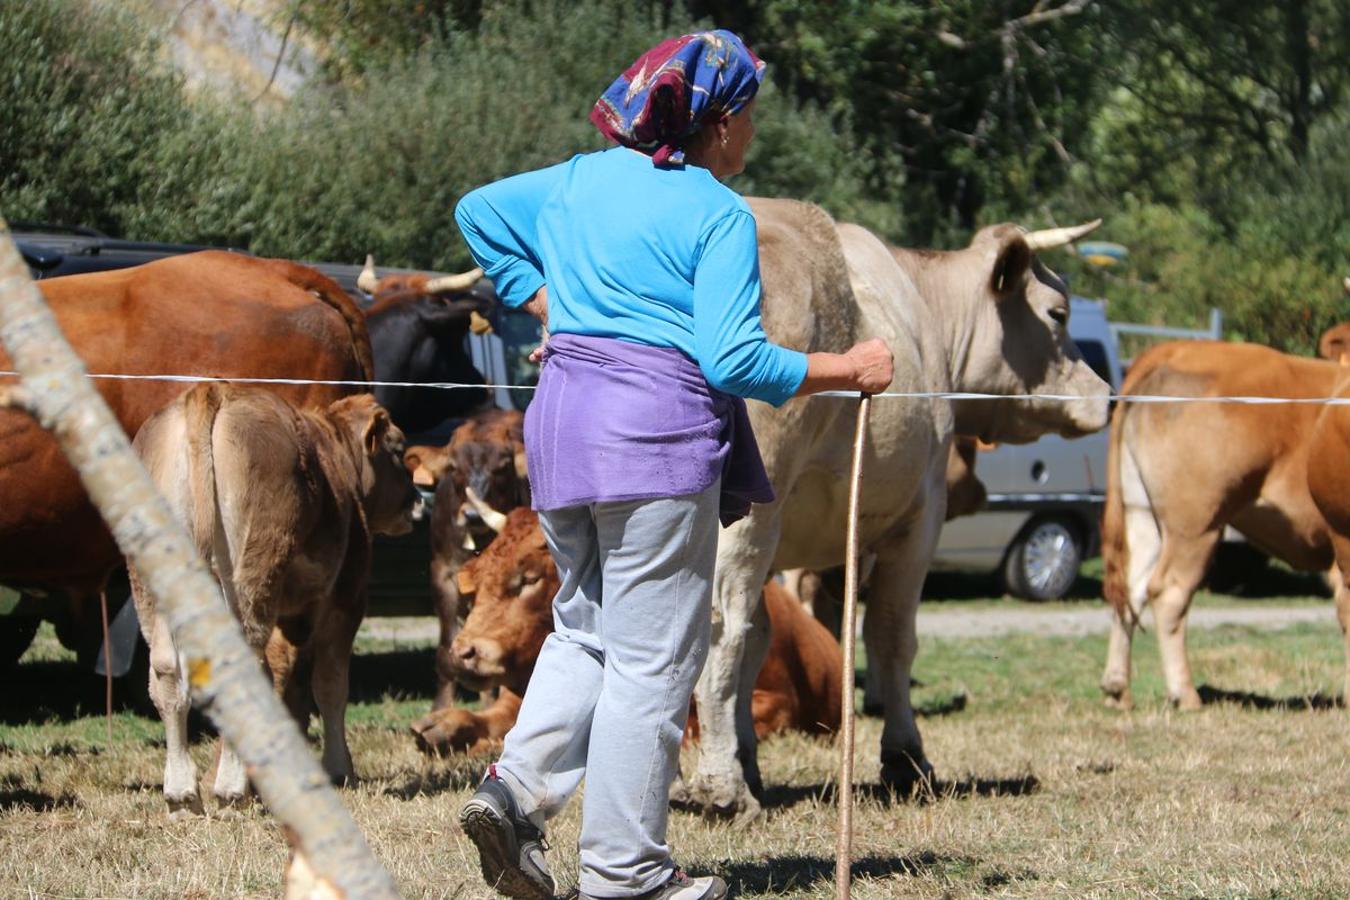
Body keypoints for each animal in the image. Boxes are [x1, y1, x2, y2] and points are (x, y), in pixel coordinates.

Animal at [132, 383, 418, 814]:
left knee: (166, 669)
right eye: (399, 449)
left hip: (152, 589)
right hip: (253, 573)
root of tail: (212, 391)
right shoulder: (345, 599)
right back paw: (230, 787)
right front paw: (339, 769)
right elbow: (329, 686)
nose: (417, 500)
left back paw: (182, 792)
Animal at [675, 201, 1107, 820]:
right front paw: (905, 758)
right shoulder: (919, 518)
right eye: (1058, 313)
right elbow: (891, 635)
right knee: (717, 630)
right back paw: (722, 789)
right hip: (746, 514)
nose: (1104, 393)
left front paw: (750, 762)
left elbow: (762, 639)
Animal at [1101, 340, 1344, 712]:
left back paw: (1117, 690)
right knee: (1169, 592)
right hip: (1195, 525)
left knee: (1131, 590)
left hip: (1142, 514)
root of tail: (1179, 349)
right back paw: (1185, 695)